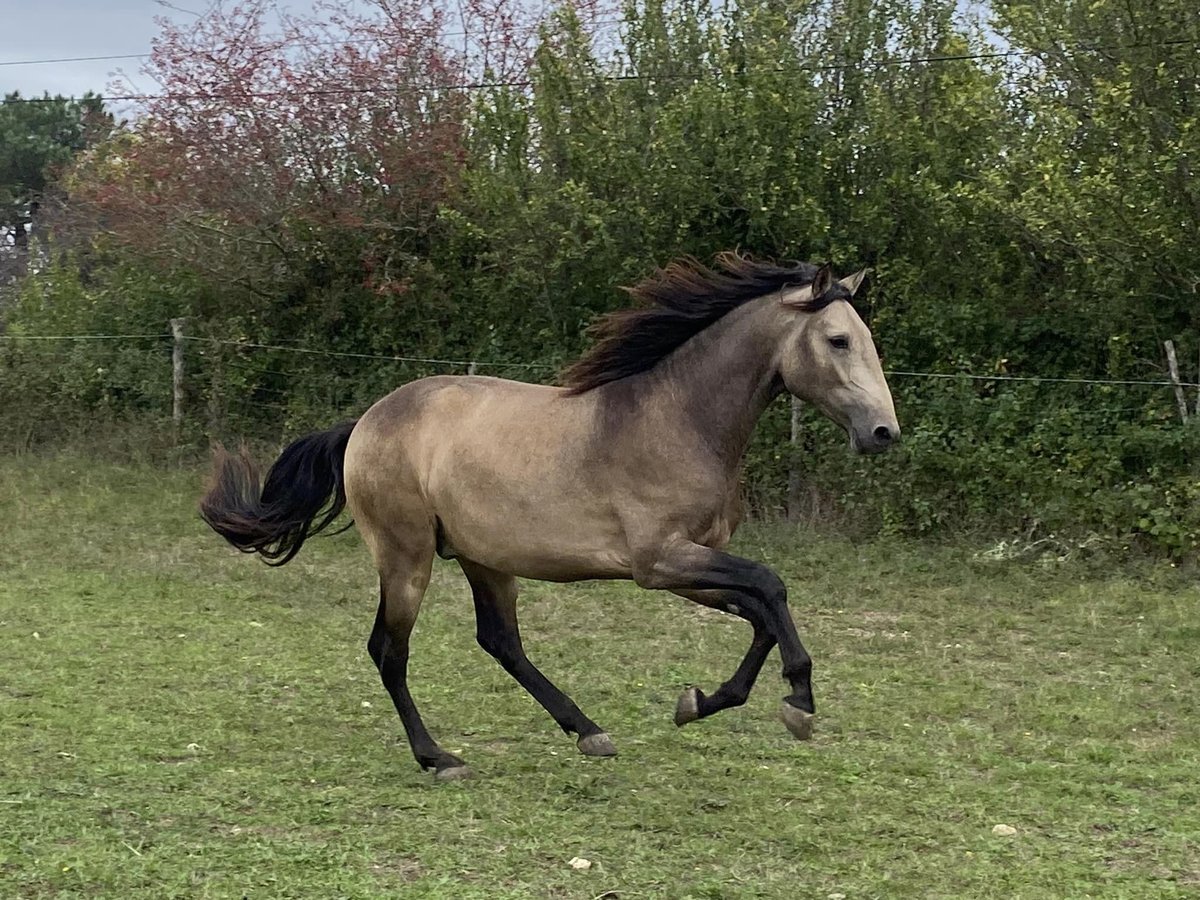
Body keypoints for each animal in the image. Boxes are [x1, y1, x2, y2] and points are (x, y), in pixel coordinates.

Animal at [201, 254, 897, 782]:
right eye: (838, 340)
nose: (883, 433)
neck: (677, 420)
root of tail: (366, 422)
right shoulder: (659, 561)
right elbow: (771, 587)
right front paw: (799, 702)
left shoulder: (686, 566)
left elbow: (759, 611)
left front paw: (699, 703)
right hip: (406, 558)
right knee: (389, 651)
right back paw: (439, 758)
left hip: (483, 557)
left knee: (500, 641)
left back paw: (586, 730)